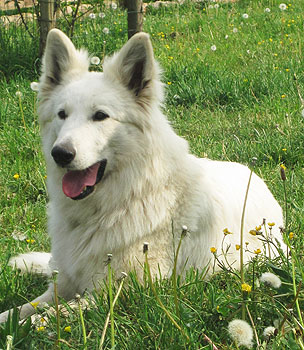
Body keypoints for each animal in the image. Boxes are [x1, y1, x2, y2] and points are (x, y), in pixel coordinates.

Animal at [1, 30, 284, 322]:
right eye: (62, 115)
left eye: (100, 116)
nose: (60, 153)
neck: (120, 202)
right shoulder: (63, 285)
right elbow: (19, 311)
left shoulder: (113, 294)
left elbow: (43, 318)